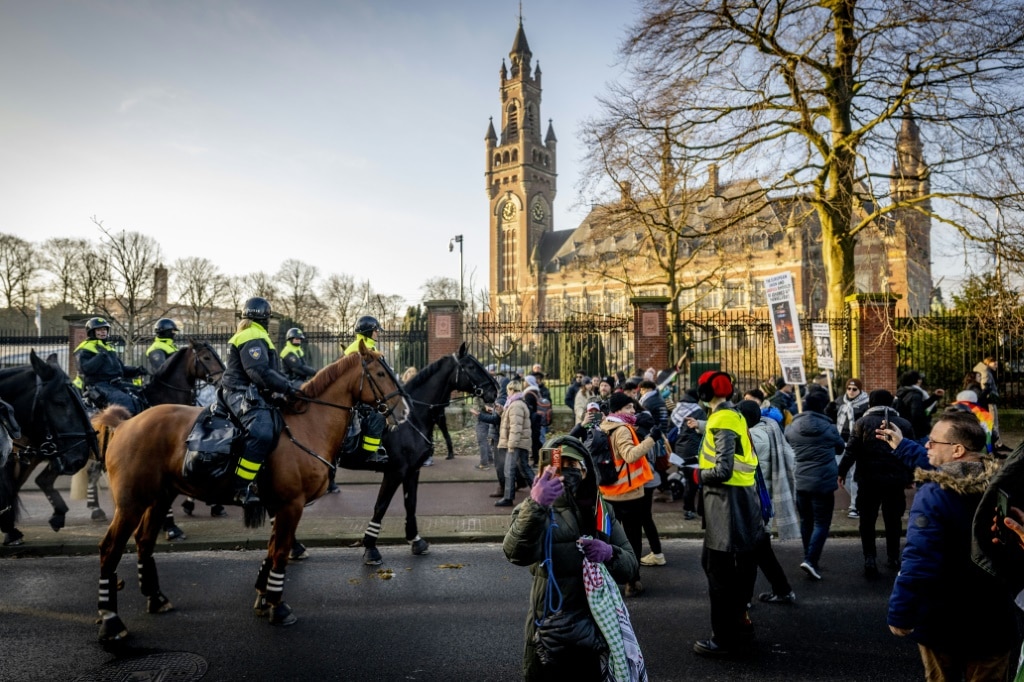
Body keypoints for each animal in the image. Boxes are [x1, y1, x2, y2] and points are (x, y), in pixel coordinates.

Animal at [95, 346, 407, 638]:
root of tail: (125, 423)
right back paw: (110, 620)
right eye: (380, 373)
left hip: (160, 497)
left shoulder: (280, 505)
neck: (308, 426)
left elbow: (272, 549)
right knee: (110, 549)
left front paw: (264, 596)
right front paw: (278, 607)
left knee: (144, 541)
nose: (404, 411)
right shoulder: (291, 505)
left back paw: (156, 597)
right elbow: (280, 551)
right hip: (131, 503)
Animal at [344, 339, 499, 561]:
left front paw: (415, 540)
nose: (495, 390)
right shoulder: (395, 471)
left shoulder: (412, 470)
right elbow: (381, 506)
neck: (412, 416)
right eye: (470, 366)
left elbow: (411, 503)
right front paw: (371, 548)